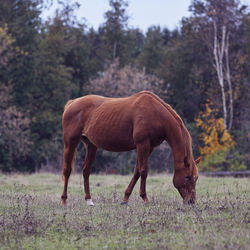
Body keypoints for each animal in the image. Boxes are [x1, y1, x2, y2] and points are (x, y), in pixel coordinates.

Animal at [61, 91, 201, 206]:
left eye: (196, 178)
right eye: (187, 177)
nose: (192, 201)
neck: (156, 114)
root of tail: (71, 103)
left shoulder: (149, 147)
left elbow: (137, 171)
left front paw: (125, 199)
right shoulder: (142, 144)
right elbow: (144, 171)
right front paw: (145, 198)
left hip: (91, 146)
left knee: (86, 171)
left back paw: (89, 200)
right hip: (70, 142)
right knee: (67, 170)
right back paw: (64, 200)